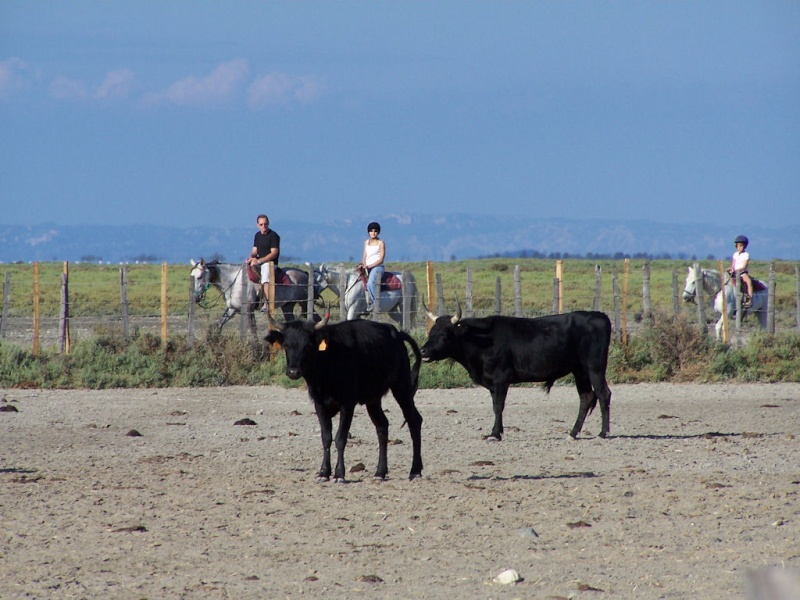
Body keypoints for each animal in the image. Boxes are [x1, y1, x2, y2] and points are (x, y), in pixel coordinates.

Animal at [418, 310, 612, 440]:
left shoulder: (501, 379)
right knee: (586, 397)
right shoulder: (492, 383)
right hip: (579, 370)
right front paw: (496, 431)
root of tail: (598, 315)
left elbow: (498, 406)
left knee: (603, 394)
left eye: (444, 334)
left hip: (594, 367)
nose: (423, 351)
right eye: (431, 332)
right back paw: (572, 433)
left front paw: (495, 434)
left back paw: (603, 432)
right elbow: (495, 405)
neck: (482, 340)